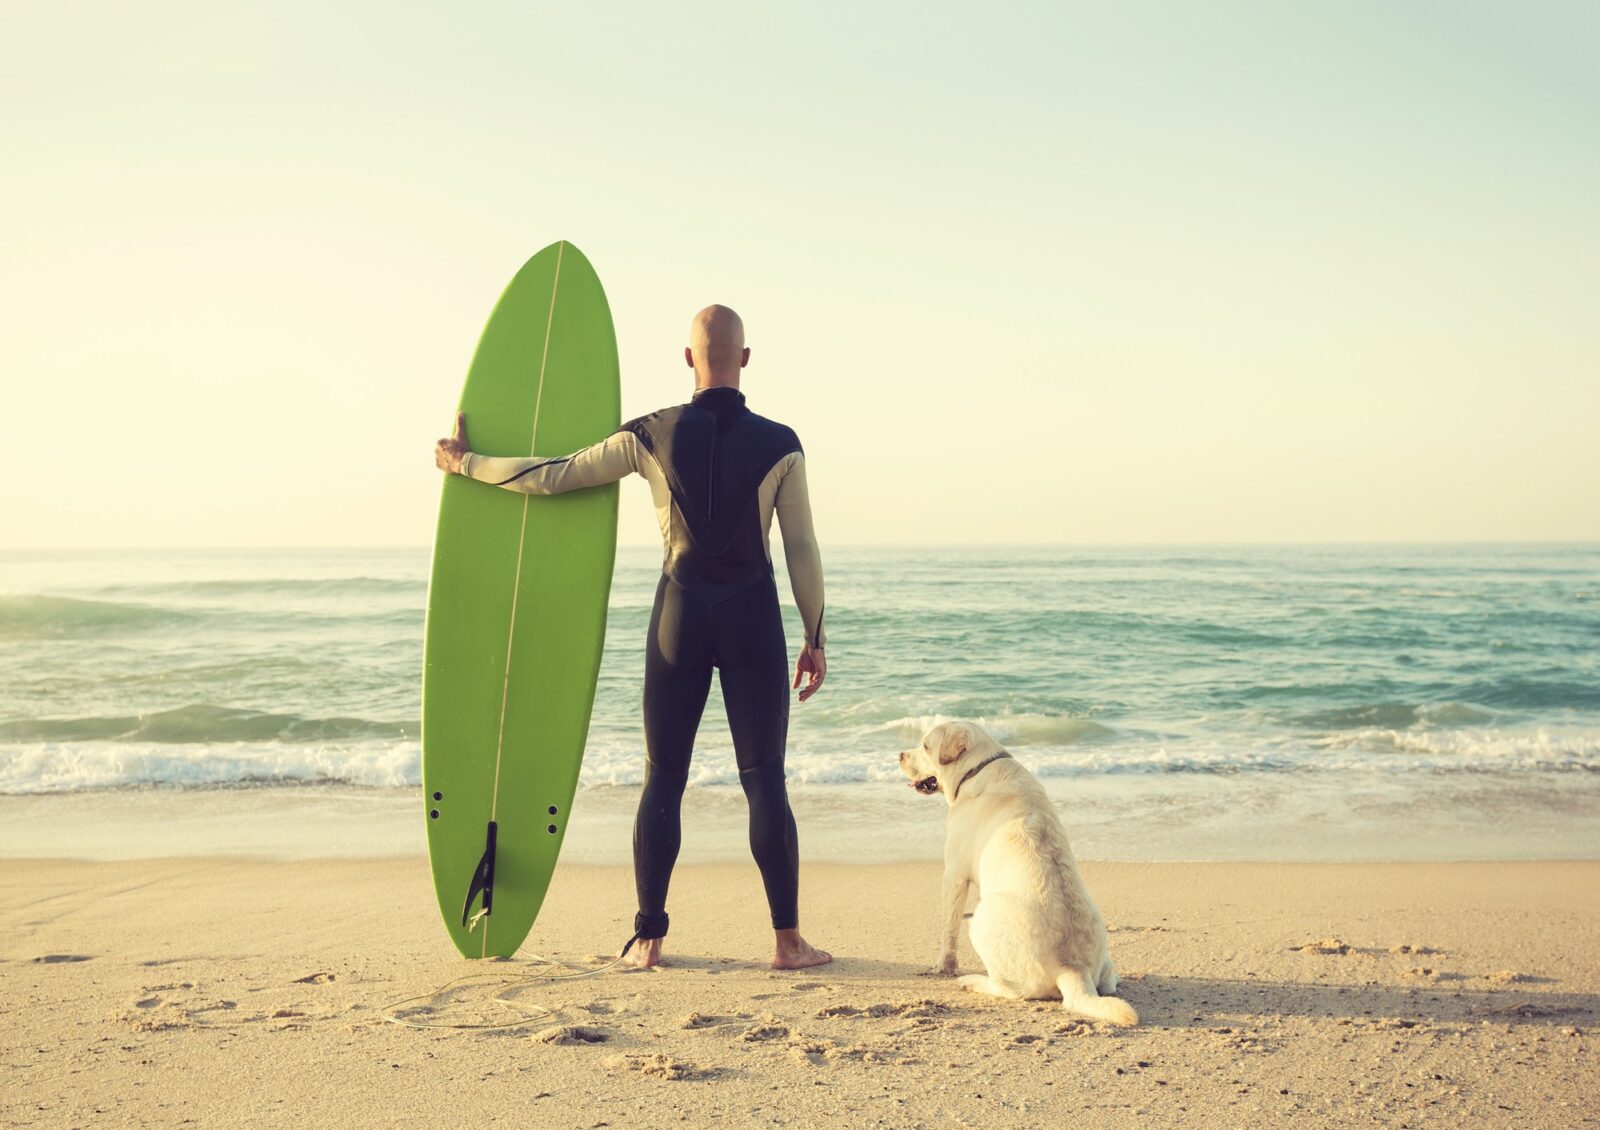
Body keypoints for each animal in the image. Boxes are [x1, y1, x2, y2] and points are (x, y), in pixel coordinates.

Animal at [902, 723, 1139, 1024]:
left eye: (925, 745)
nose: (899, 755)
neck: (977, 767)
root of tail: (1073, 969)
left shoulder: (953, 873)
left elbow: (949, 930)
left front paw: (943, 967)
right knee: (1108, 983)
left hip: (981, 918)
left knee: (1007, 989)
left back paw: (972, 981)